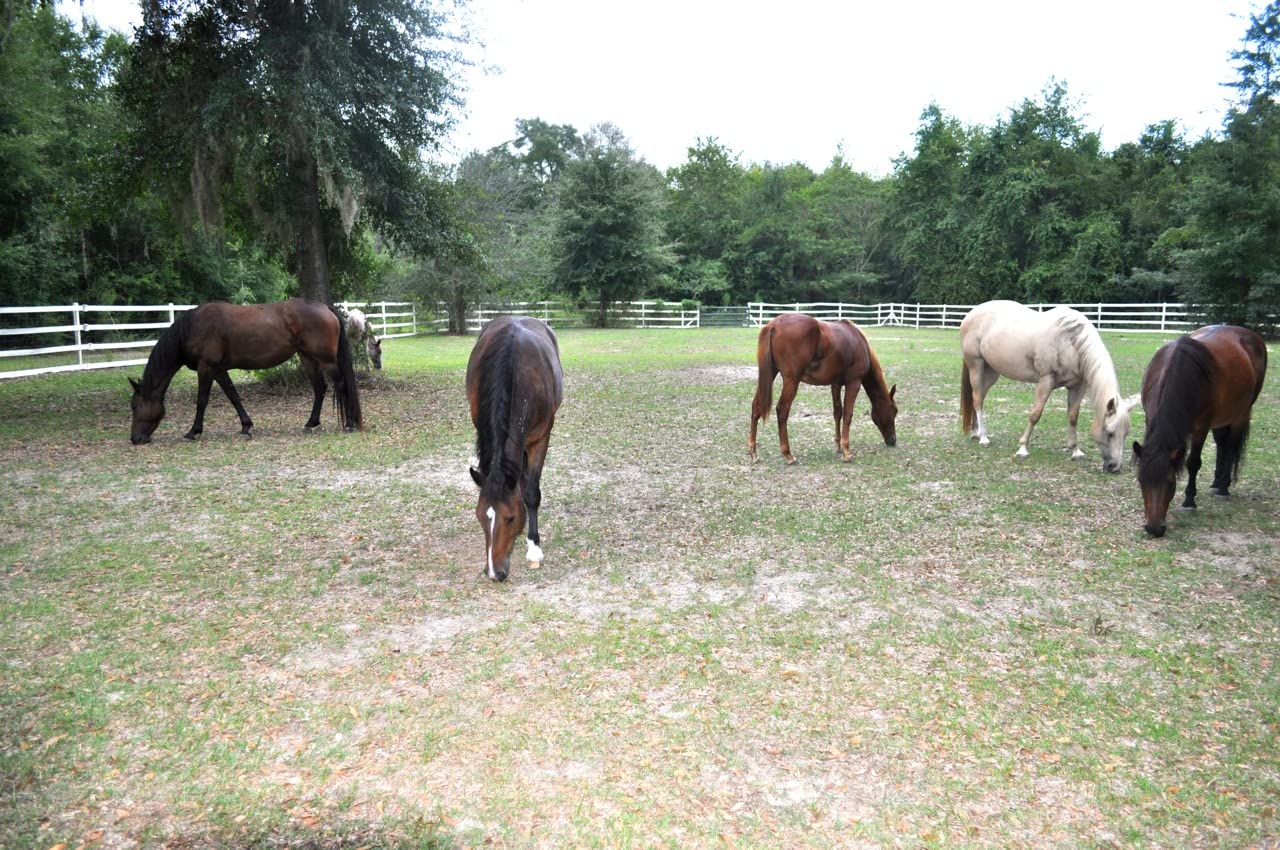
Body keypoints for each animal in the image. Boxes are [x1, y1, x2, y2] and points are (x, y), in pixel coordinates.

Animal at [129, 299, 363, 444]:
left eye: (135, 406)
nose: (135, 439)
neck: (192, 328)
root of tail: (325, 307)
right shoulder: (218, 370)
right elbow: (234, 396)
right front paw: (246, 427)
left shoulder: (206, 368)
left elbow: (202, 400)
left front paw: (193, 431)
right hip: (307, 358)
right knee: (319, 388)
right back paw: (311, 423)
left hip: (326, 360)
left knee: (341, 384)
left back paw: (349, 424)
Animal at [466, 316, 564, 582]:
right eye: (479, 515)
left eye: (509, 518)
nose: (494, 572)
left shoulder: (541, 439)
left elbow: (531, 494)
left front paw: (534, 548)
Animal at [748, 313, 898, 464]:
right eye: (894, 411)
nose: (893, 440)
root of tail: (774, 324)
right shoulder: (854, 383)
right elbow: (848, 415)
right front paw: (846, 451)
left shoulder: (836, 384)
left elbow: (838, 412)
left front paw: (838, 445)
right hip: (792, 381)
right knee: (782, 411)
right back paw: (788, 454)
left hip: (770, 374)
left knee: (756, 406)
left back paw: (753, 452)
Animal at [959, 300, 1137, 472]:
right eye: (1109, 432)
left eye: (1126, 433)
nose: (1115, 467)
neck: (1070, 343)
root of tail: (971, 314)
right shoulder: (1046, 381)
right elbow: (1035, 414)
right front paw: (1023, 448)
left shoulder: (1077, 386)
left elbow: (1073, 417)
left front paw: (1075, 451)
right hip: (976, 367)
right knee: (977, 401)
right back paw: (983, 438)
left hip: (991, 373)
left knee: (978, 398)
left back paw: (976, 432)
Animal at [1133, 325, 1267, 537]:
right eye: (1141, 481)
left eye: (1171, 483)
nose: (1154, 529)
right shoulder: (1149, 418)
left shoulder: (1201, 428)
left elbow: (1193, 463)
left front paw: (1189, 501)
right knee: (1221, 444)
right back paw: (1216, 482)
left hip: (1240, 413)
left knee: (1230, 447)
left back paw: (1223, 487)